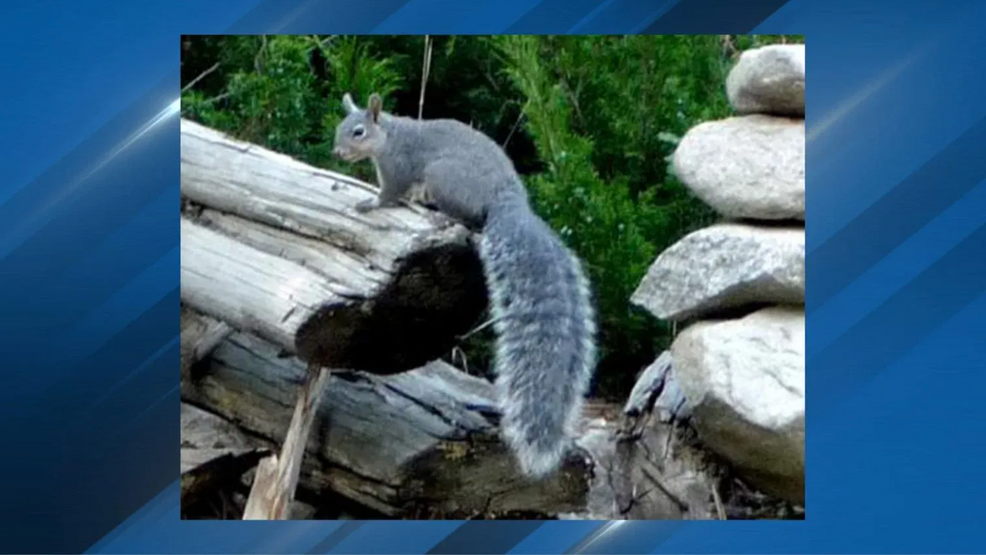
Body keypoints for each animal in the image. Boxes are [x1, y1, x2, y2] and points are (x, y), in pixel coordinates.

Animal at [330, 93, 596, 480]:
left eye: (358, 132)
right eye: (341, 127)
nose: (337, 152)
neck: (391, 136)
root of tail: (507, 200)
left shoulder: (399, 167)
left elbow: (389, 195)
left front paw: (370, 203)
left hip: (443, 176)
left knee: (470, 220)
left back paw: (442, 217)